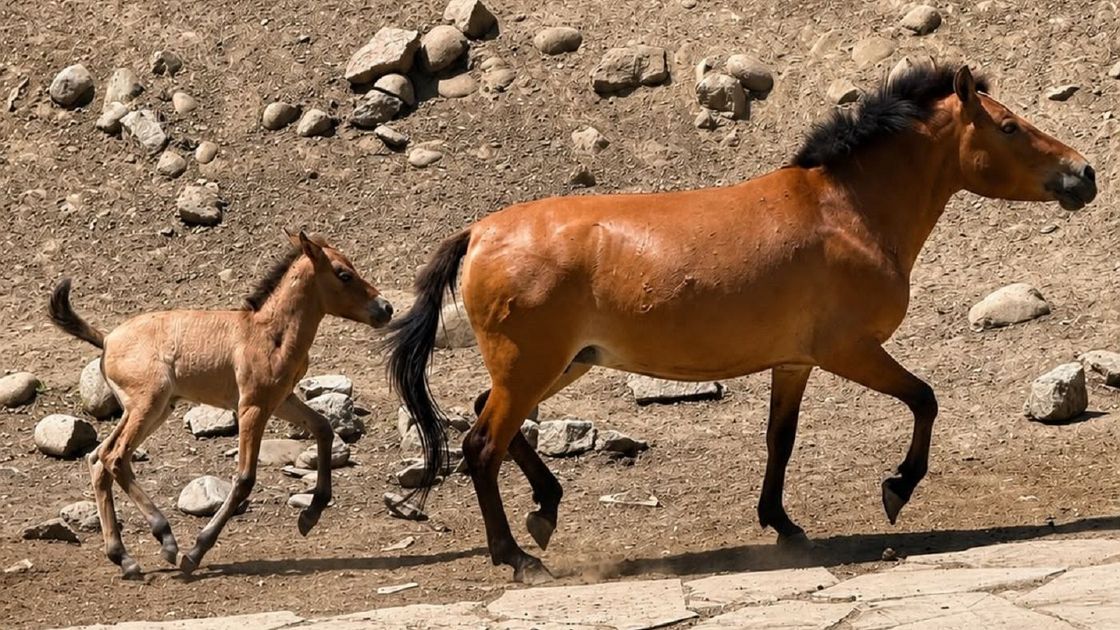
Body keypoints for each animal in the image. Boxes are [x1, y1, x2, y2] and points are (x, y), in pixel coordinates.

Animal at [48, 231, 393, 579]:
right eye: (343, 274)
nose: (386, 308)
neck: (270, 333)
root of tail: (106, 340)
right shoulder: (252, 406)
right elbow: (244, 478)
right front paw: (196, 551)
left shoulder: (281, 399)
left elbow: (323, 428)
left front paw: (311, 515)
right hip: (148, 404)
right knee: (114, 457)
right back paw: (166, 540)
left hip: (152, 409)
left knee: (98, 458)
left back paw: (124, 558)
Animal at [383, 64, 1097, 583]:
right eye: (1008, 126)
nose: (1083, 174)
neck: (847, 210)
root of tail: (479, 233)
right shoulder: (849, 350)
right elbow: (925, 398)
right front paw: (897, 488)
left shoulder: (796, 360)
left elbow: (780, 440)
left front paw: (783, 526)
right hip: (534, 367)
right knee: (482, 446)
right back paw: (518, 556)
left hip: (558, 365)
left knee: (488, 420)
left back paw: (546, 511)